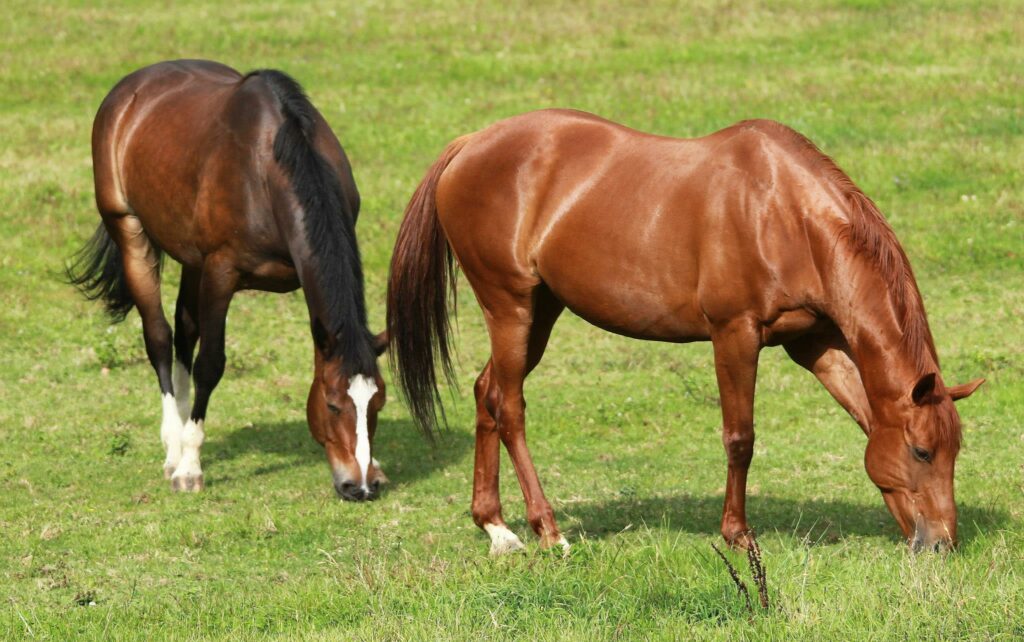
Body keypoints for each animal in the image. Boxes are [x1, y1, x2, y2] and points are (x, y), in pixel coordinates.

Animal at [68, 60, 387, 499]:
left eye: (378, 403)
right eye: (333, 403)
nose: (359, 486)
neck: (266, 170)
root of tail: (131, 87)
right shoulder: (221, 273)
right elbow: (210, 365)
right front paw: (189, 466)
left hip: (192, 261)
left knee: (184, 331)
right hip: (131, 232)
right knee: (160, 337)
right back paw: (174, 445)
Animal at [385, 109, 983, 552]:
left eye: (954, 451)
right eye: (923, 452)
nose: (941, 544)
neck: (785, 213)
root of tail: (469, 144)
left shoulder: (814, 342)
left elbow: (864, 416)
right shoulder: (734, 334)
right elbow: (740, 439)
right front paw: (738, 535)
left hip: (539, 312)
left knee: (487, 392)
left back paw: (496, 527)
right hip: (510, 308)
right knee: (509, 406)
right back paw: (547, 530)